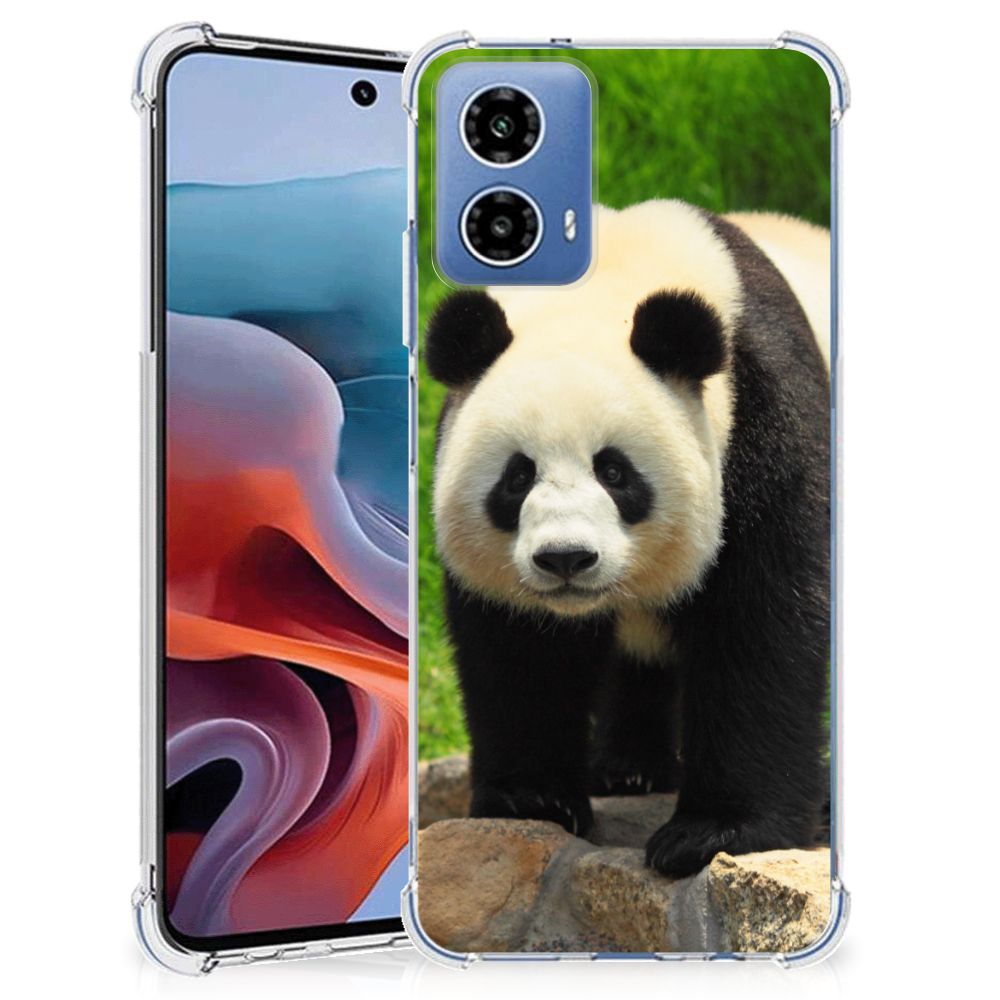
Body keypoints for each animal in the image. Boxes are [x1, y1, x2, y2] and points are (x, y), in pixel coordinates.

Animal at [424, 200, 830, 877]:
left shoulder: (766, 419)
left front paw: (713, 833)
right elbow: (519, 649)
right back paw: (628, 769)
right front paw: (533, 800)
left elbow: (763, 622)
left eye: (614, 472)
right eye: (517, 476)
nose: (565, 558)